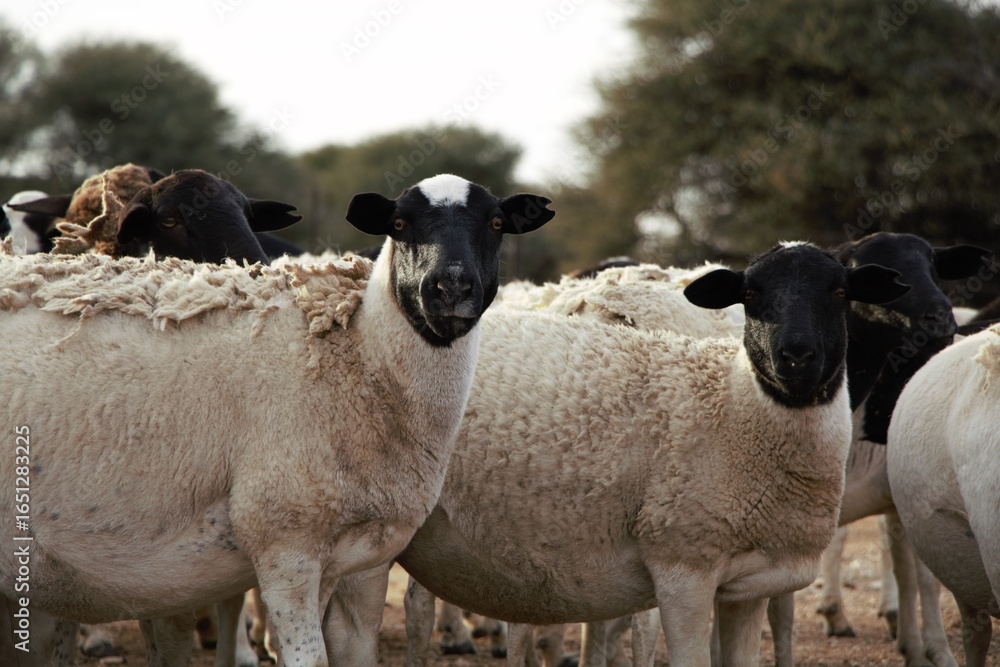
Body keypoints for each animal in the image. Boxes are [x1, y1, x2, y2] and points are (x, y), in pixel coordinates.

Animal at [0, 173, 554, 667]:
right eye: (398, 223)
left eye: (498, 222)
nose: (451, 287)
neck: (357, 359)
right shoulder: (284, 548)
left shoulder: (366, 559)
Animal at [394, 241, 909, 667]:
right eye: (750, 293)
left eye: (840, 291)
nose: (796, 356)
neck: (732, 405)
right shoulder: (681, 568)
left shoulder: (747, 585)